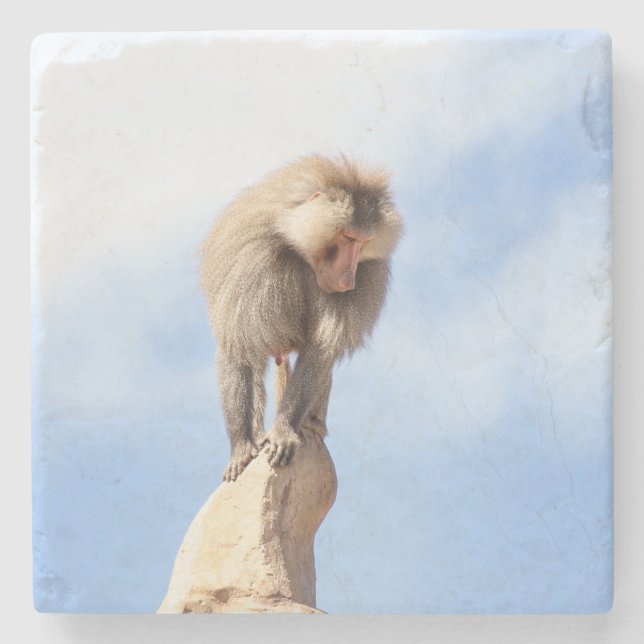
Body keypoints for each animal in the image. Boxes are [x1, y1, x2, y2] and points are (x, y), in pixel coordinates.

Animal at [201, 155, 403, 482]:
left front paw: (284, 430)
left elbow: (321, 351)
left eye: (364, 242)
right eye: (348, 237)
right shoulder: (251, 261)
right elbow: (238, 346)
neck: (297, 245)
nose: (348, 281)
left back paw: (310, 425)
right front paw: (241, 448)